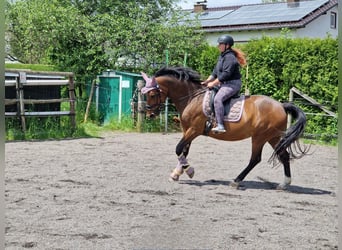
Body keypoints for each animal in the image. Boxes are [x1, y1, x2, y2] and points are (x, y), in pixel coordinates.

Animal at [140, 66, 308, 189]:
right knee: (283, 155)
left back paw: (236, 180)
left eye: (153, 94)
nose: (149, 114)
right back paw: (284, 184)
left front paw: (189, 171)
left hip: (260, 137)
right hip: (273, 137)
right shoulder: (187, 130)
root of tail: (281, 105)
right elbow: (184, 151)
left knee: (255, 159)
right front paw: (176, 173)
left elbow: (178, 149)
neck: (192, 97)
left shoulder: (194, 130)